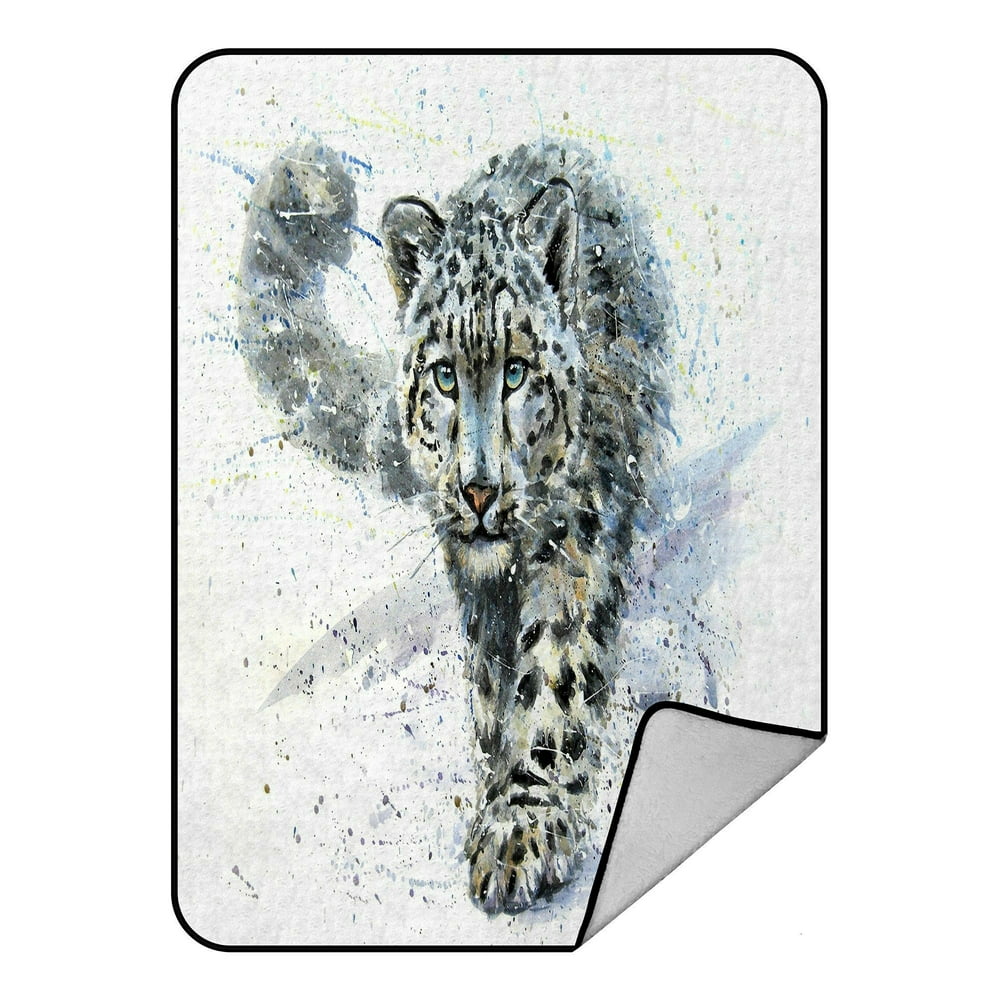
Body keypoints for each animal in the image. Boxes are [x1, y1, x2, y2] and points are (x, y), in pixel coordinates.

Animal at [237, 139, 675, 914]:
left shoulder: (574, 533)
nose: (477, 490)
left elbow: (554, 668)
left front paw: (522, 823)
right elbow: (497, 681)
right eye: (444, 376)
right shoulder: (478, 581)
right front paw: (501, 786)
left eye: (517, 371)